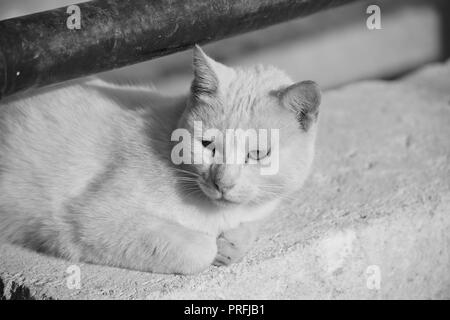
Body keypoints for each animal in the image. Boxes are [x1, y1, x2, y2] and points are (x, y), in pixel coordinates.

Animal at [0, 45, 320, 276]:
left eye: (257, 154)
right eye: (206, 145)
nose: (222, 183)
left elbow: (249, 227)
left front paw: (233, 243)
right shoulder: (88, 218)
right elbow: (200, 249)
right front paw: (215, 248)